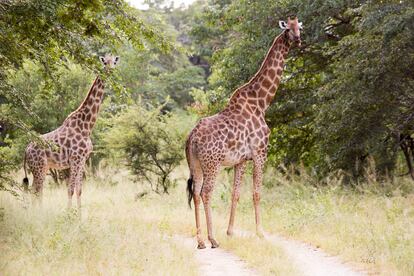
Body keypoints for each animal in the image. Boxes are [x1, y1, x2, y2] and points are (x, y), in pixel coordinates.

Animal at [22, 55, 119, 208]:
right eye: (104, 62)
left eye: (114, 62)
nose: (109, 70)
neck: (87, 126)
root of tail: (26, 150)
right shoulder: (75, 159)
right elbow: (70, 190)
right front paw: (68, 214)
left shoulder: (83, 160)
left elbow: (79, 190)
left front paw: (78, 214)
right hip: (38, 167)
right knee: (36, 191)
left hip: (42, 168)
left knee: (36, 191)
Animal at [186, 17, 302, 250]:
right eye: (288, 29)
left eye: (299, 28)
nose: (298, 39)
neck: (261, 103)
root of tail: (192, 137)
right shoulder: (260, 153)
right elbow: (257, 193)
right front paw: (260, 233)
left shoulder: (240, 160)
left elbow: (236, 193)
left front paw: (230, 232)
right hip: (212, 164)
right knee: (206, 193)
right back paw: (213, 239)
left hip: (195, 164)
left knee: (195, 193)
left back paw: (201, 241)